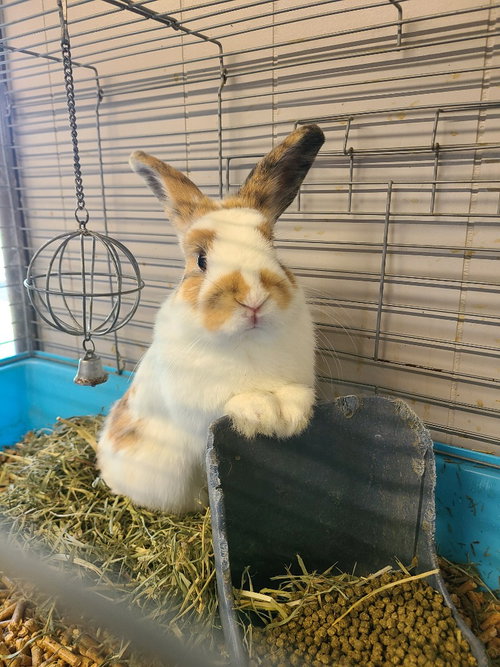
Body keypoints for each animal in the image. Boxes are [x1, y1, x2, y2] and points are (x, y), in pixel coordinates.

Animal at [97, 124, 325, 514]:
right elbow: (232, 400)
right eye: (201, 260)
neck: (246, 341)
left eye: (272, 248)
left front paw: (292, 418)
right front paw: (263, 413)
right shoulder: (200, 398)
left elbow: (292, 395)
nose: (253, 299)